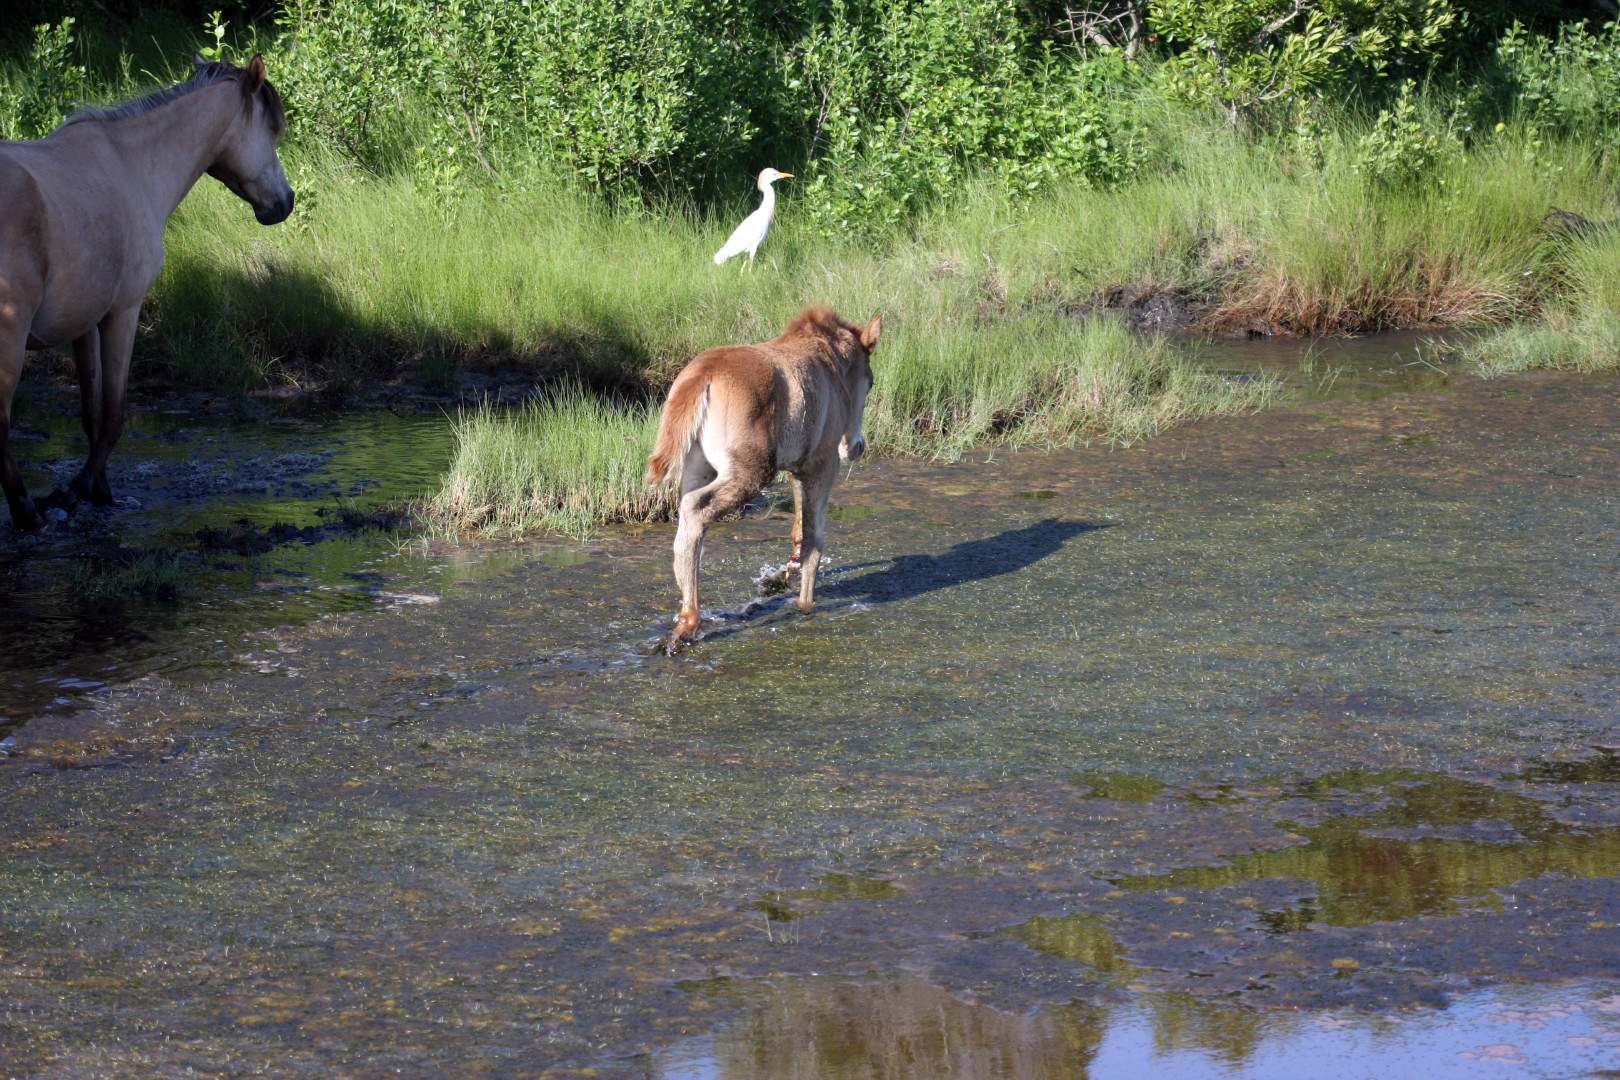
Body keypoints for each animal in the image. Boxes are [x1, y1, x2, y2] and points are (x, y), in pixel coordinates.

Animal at [0, 54, 294, 531]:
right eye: (271, 130)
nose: (285, 202)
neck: (131, 166)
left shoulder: (84, 323)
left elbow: (91, 413)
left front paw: (99, 490)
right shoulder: (123, 313)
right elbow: (114, 414)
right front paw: (72, 494)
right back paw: (27, 511)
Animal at [645, 306, 882, 653]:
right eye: (870, 382)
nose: (855, 447)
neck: (832, 366)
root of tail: (702, 378)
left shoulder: (798, 464)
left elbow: (799, 528)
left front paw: (787, 572)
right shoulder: (822, 462)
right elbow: (815, 540)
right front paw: (805, 604)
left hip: (697, 467)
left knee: (688, 520)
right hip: (752, 471)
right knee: (696, 509)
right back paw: (689, 620)